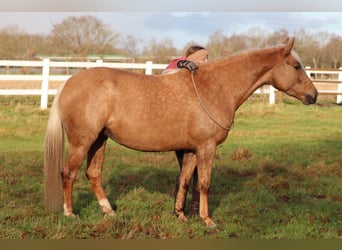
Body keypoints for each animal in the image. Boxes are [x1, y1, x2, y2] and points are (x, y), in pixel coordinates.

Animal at [44, 38, 318, 228]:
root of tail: (68, 83)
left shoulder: (191, 150)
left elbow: (186, 180)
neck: (215, 87)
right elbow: (205, 184)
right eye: (296, 66)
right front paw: (207, 220)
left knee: (93, 174)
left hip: (99, 140)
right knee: (68, 173)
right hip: (83, 141)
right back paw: (70, 213)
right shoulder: (207, 148)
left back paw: (108, 211)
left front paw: (180, 215)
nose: (313, 95)